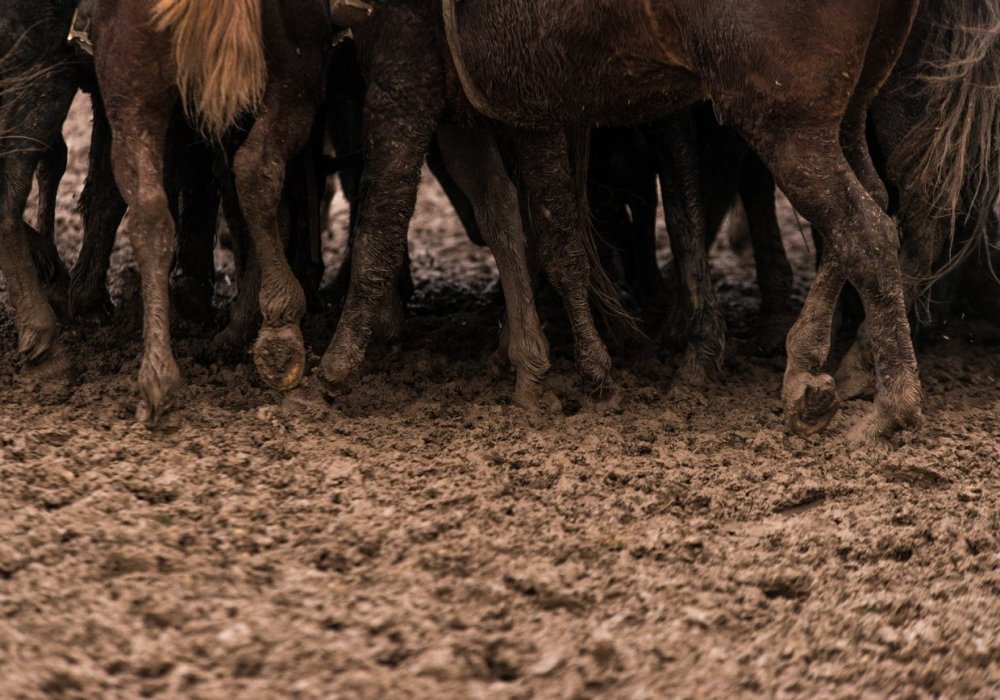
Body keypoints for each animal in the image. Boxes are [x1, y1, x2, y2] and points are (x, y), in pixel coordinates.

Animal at [91, 0, 330, 426]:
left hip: (127, 71)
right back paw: (280, 334)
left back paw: (158, 375)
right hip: (296, 66)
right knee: (258, 168)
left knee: (151, 209)